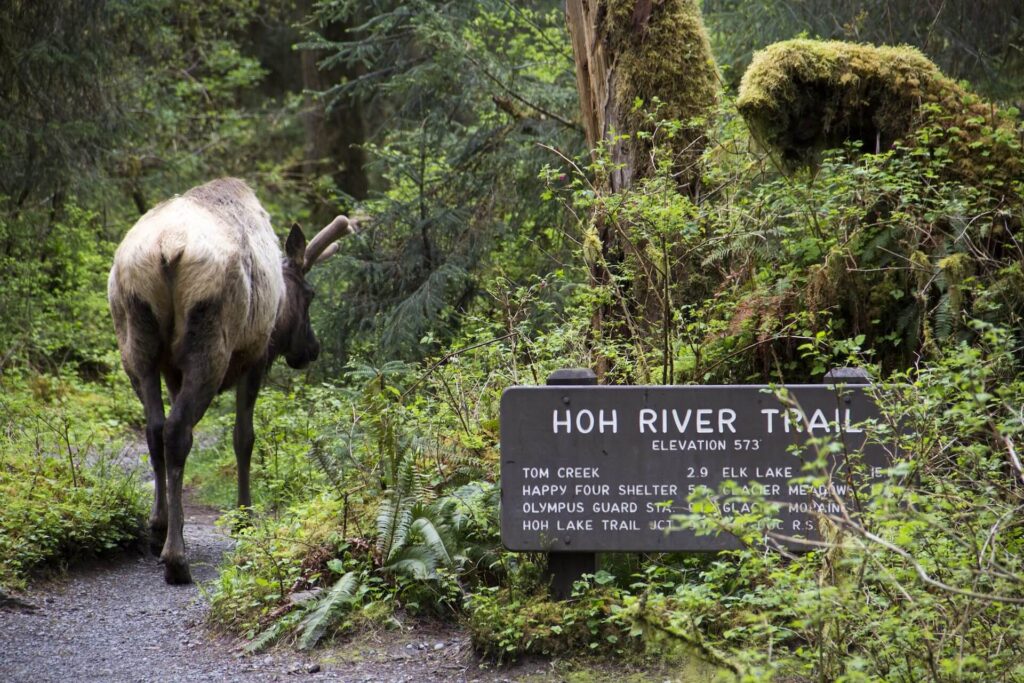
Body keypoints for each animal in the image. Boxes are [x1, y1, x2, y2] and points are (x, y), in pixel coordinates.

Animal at [108, 176, 356, 581]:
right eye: (310, 294)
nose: (312, 349)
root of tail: (167, 249)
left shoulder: (173, 372)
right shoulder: (255, 357)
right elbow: (244, 437)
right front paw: (244, 517)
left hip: (135, 345)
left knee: (155, 430)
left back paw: (158, 529)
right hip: (210, 344)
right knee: (177, 431)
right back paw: (176, 558)